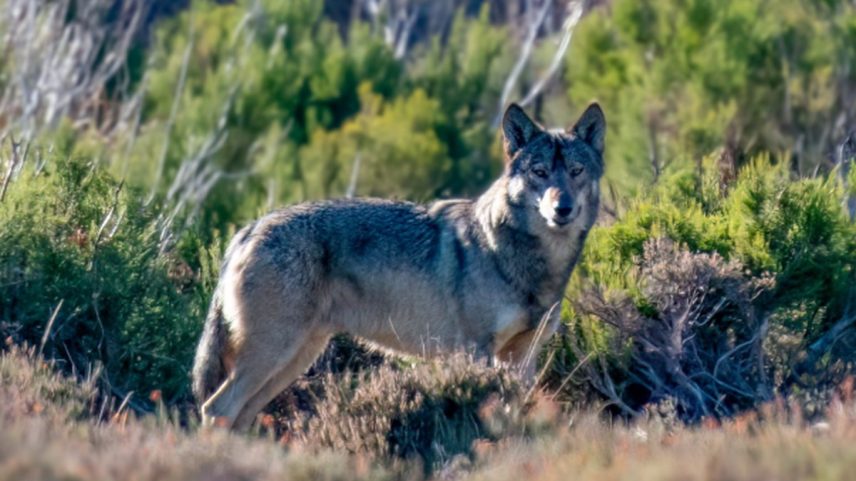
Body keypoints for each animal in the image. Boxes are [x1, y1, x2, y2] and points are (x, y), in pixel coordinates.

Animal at [192, 103, 606, 429]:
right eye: (539, 172)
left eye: (576, 170)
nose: (562, 208)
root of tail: (248, 229)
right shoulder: (476, 352)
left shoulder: (523, 359)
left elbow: (516, 417)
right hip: (274, 353)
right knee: (216, 408)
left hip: (293, 359)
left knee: (241, 415)